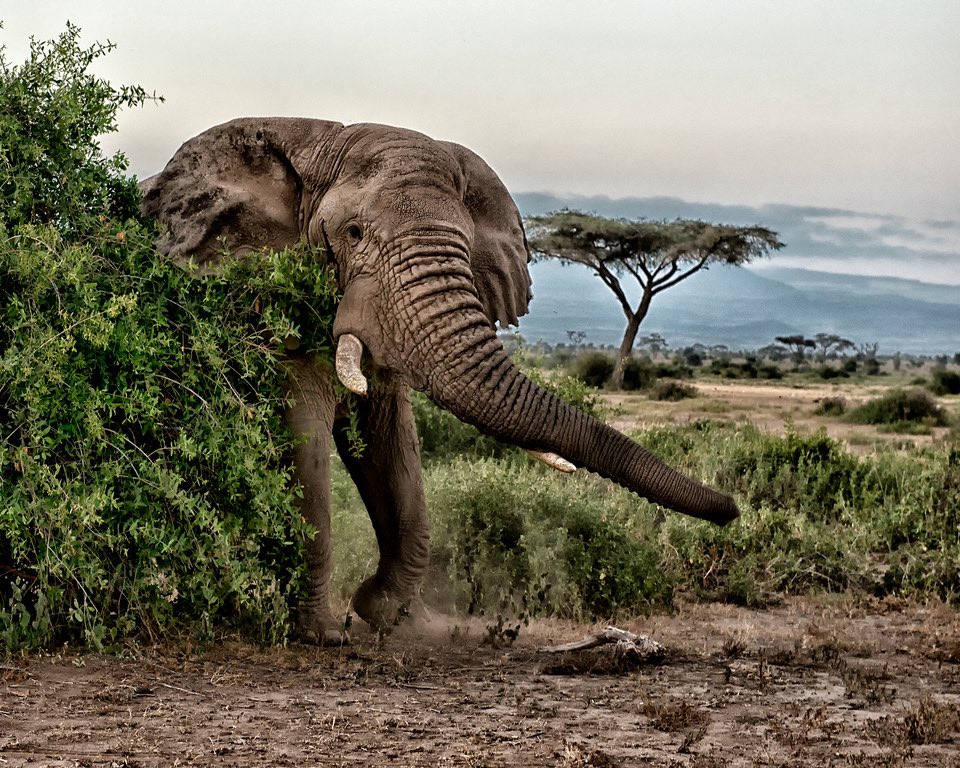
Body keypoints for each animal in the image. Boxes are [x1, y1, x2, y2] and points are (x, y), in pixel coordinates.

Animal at [141, 117, 739, 643]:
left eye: (466, 246)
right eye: (353, 233)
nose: (731, 510)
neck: (318, 139)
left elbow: (390, 442)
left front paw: (379, 613)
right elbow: (303, 432)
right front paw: (323, 635)